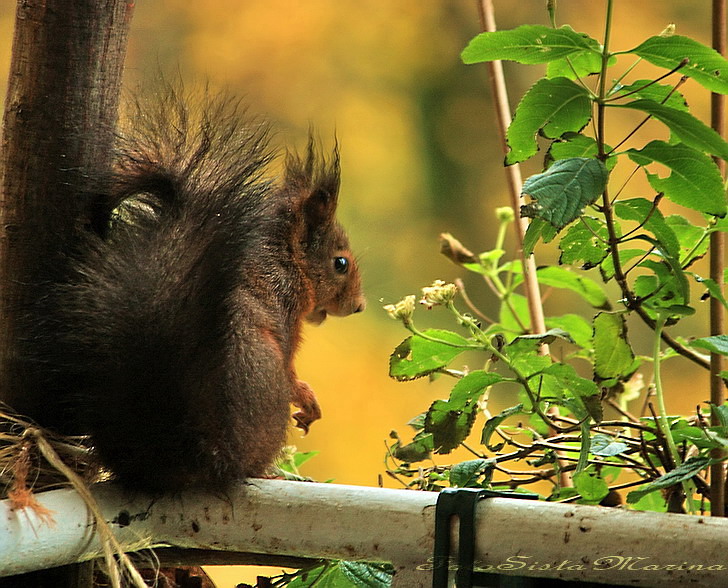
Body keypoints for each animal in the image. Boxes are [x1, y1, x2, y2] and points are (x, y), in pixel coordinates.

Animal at [12, 88, 364, 492]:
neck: (282, 255)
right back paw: (271, 470)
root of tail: (195, 455)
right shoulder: (283, 309)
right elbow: (291, 370)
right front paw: (307, 399)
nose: (358, 306)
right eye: (340, 263)